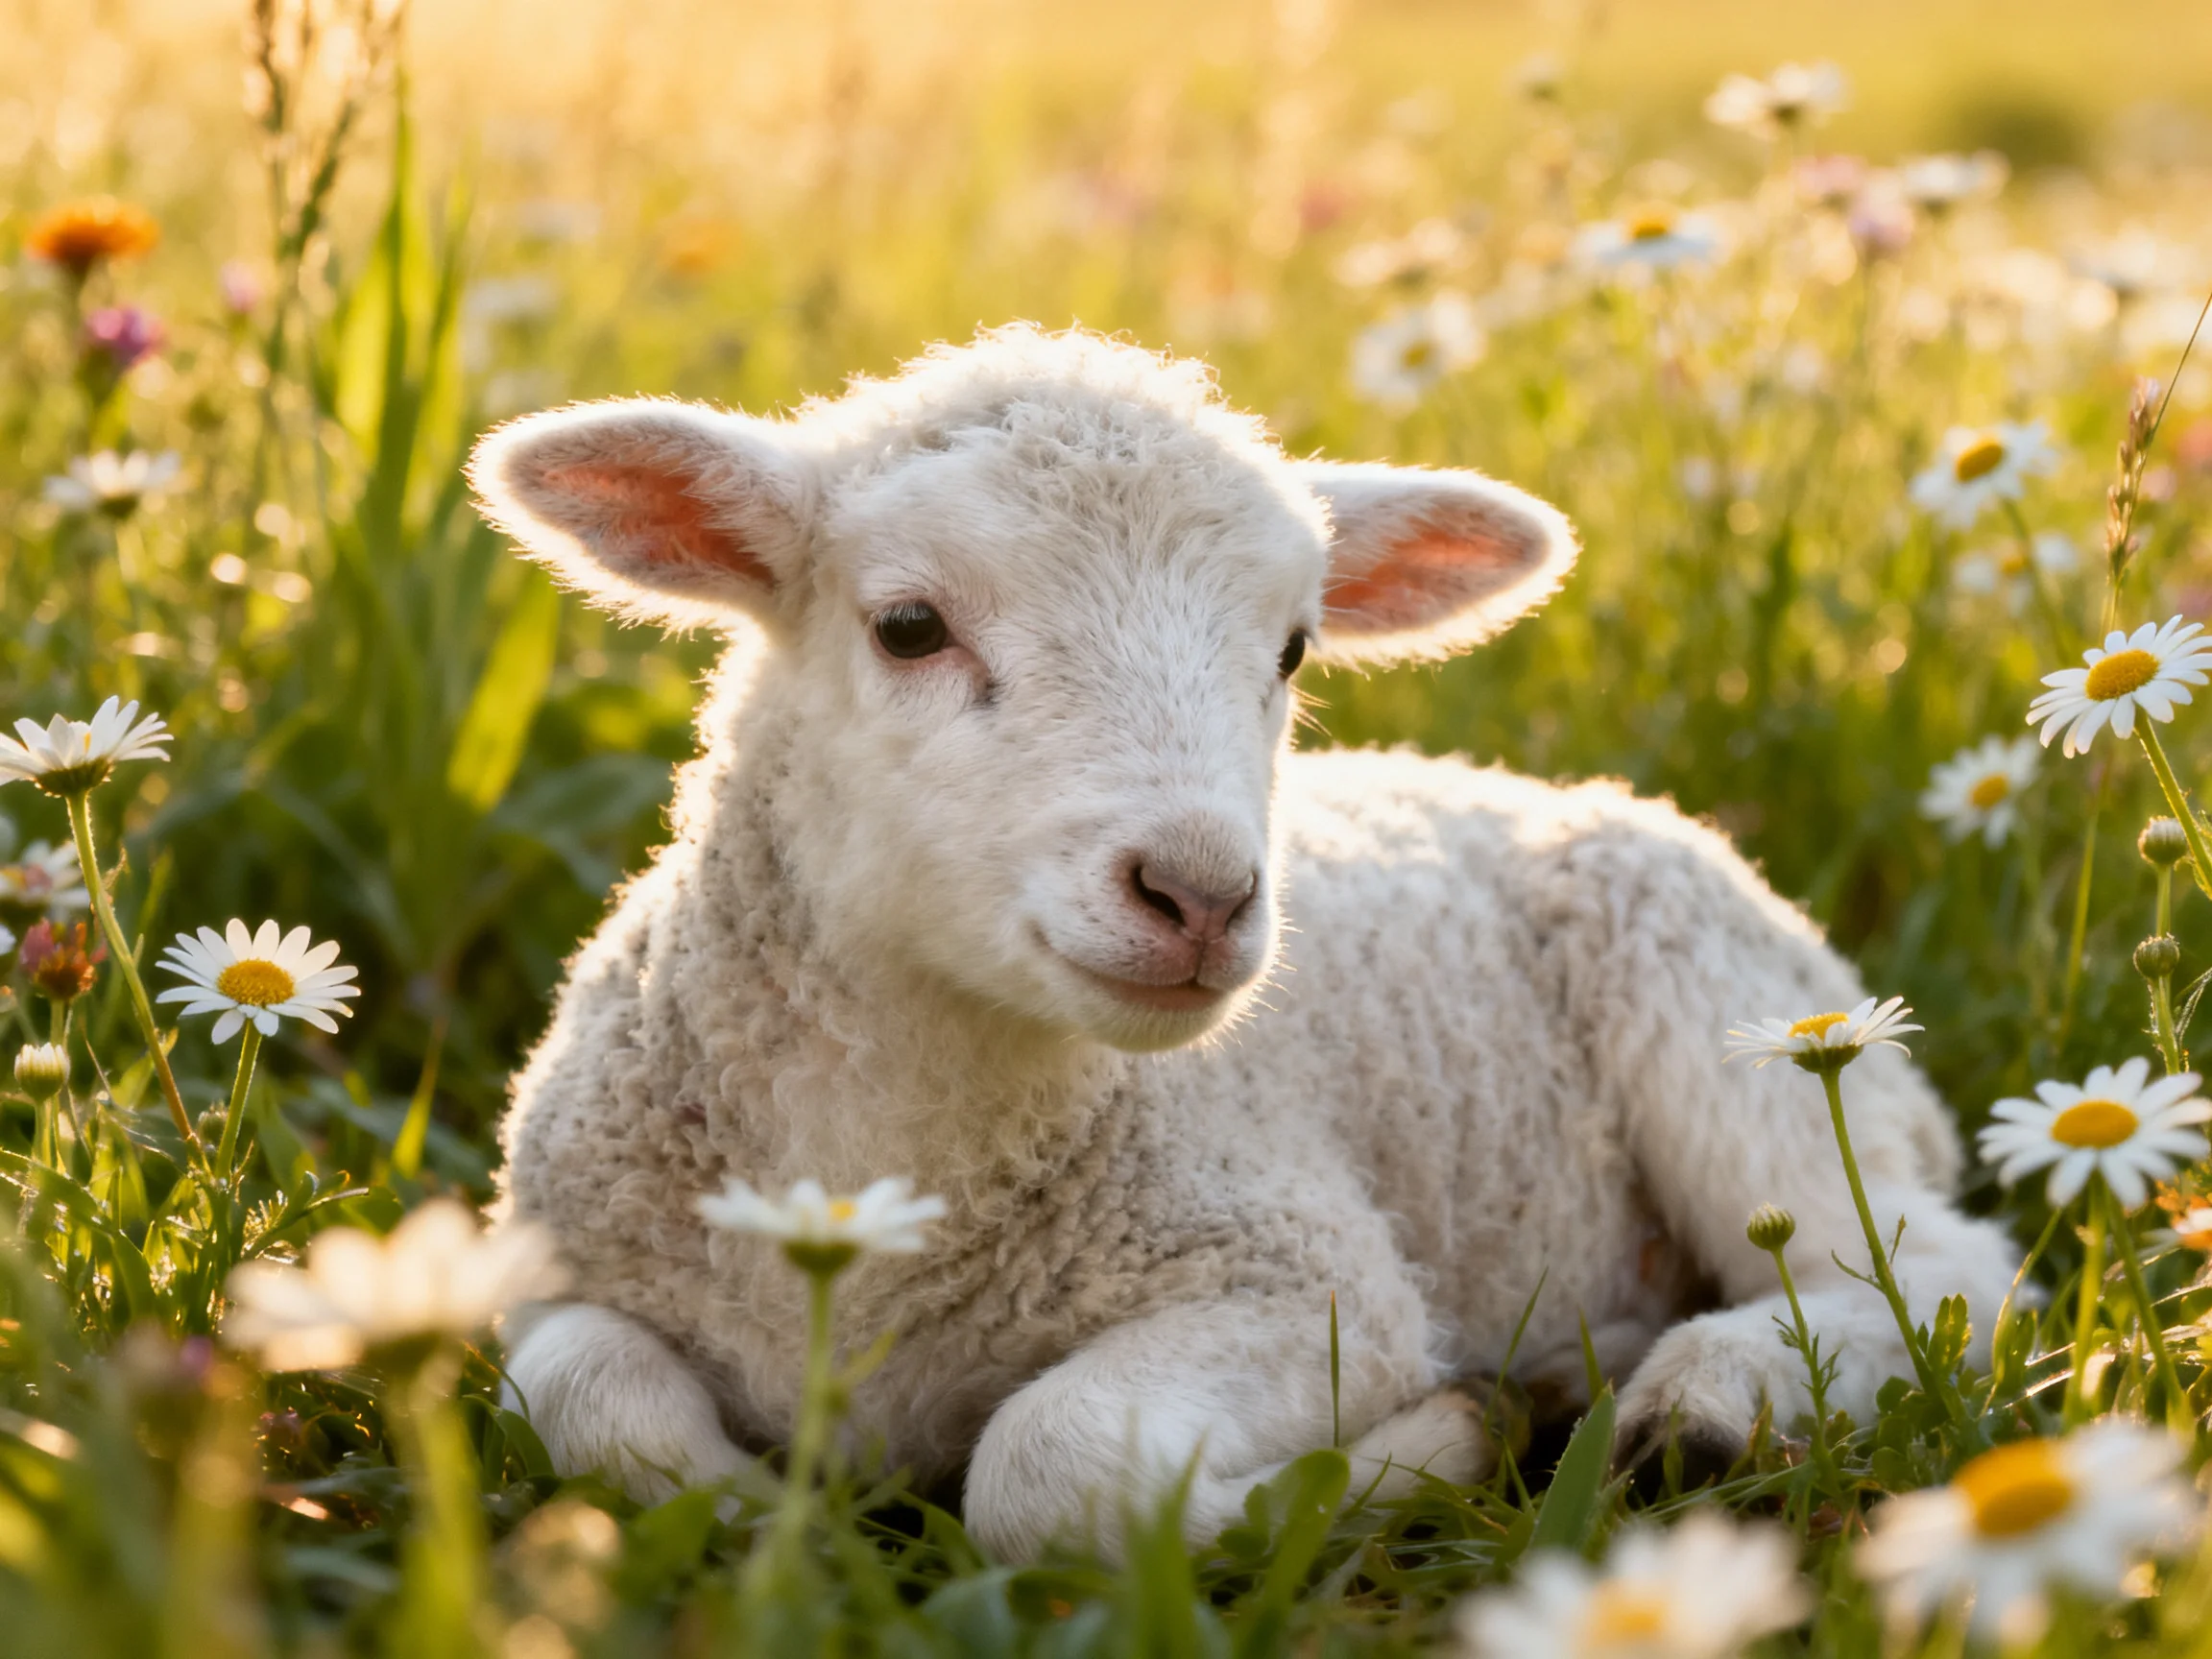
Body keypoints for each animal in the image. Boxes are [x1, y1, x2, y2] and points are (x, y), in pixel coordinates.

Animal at [467, 326, 2017, 1561]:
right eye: (908, 626)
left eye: (1291, 649)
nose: (1201, 895)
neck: (874, 1178)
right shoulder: (551, 1272)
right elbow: (589, 1409)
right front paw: (761, 1510)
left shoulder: (1312, 1280)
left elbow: (1045, 1467)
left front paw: (1408, 1458)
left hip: (1727, 1016)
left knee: (1925, 1270)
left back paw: (1701, 1404)